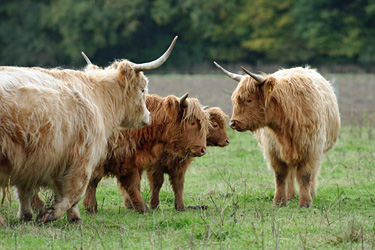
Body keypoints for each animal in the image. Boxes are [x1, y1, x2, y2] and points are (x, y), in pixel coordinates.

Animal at [0, 36, 178, 226]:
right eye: (143, 89)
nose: (148, 116)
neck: (97, 97)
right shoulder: (83, 155)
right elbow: (75, 192)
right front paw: (52, 214)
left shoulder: (32, 161)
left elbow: (27, 190)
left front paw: (28, 215)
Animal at [214, 62, 340, 207]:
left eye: (249, 100)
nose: (233, 123)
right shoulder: (273, 150)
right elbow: (280, 175)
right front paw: (279, 201)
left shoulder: (311, 149)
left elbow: (305, 175)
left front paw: (305, 203)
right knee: (291, 173)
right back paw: (290, 195)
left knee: (312, 173)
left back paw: (312, 193)